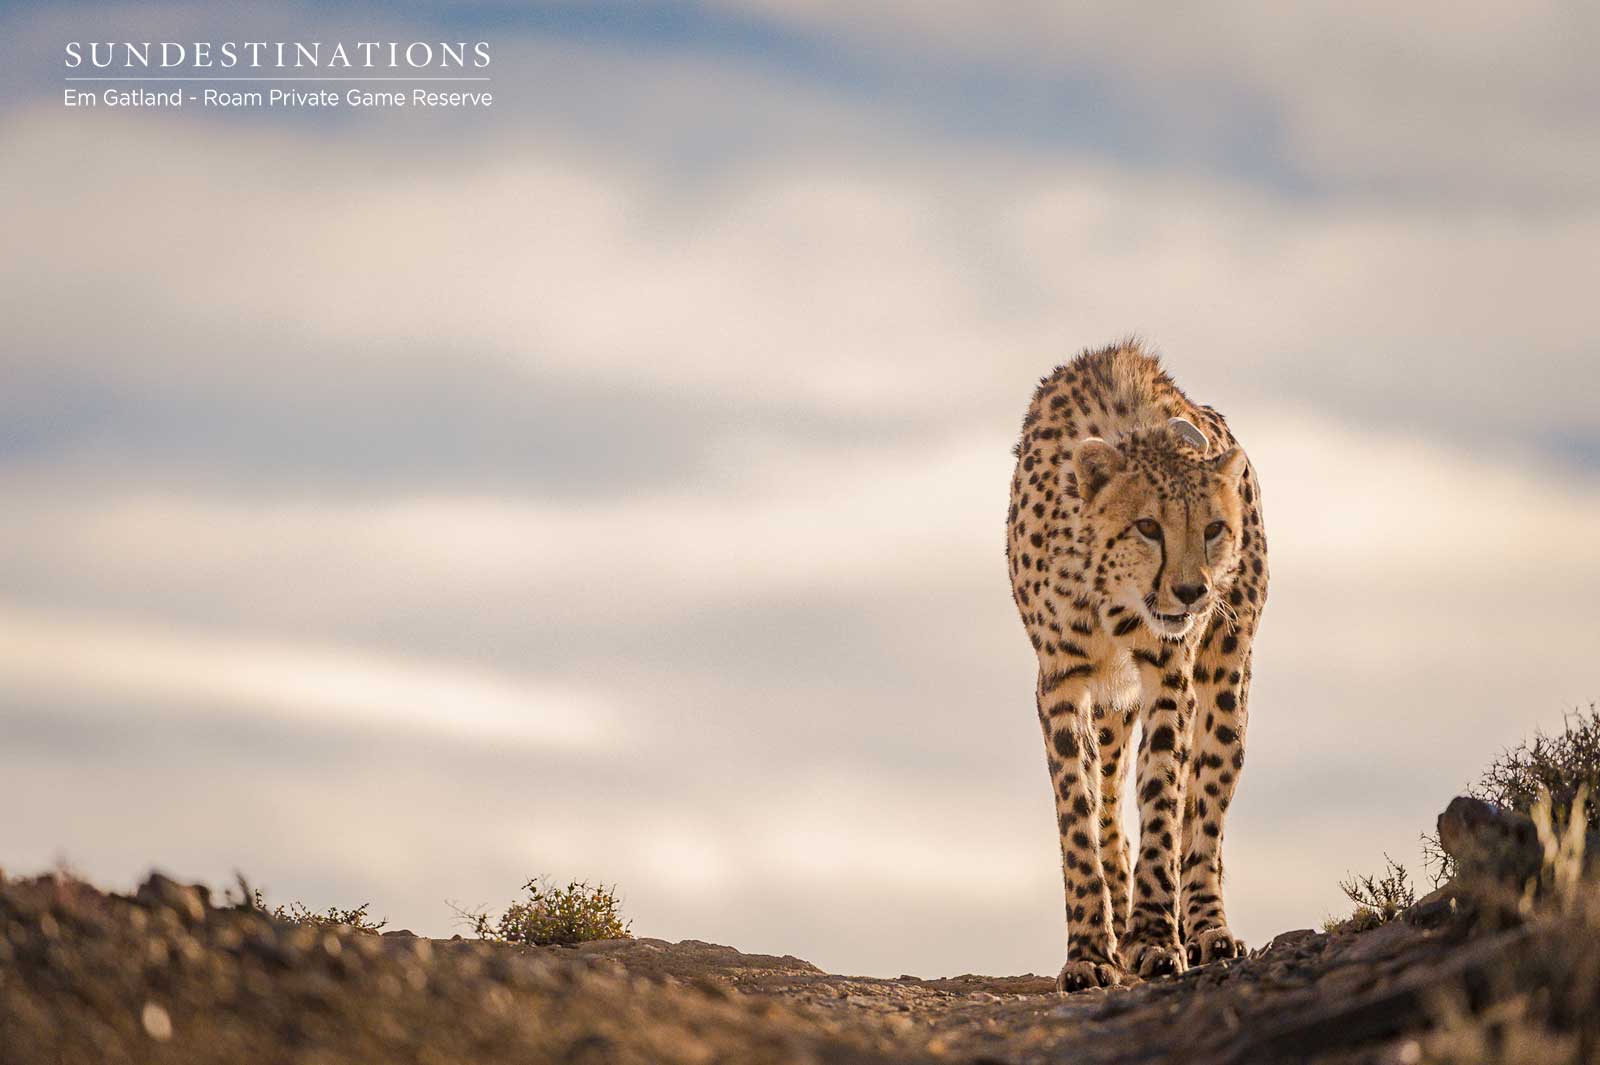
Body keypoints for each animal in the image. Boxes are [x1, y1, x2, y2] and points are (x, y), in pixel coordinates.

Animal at [1006, 339, 1268, 991]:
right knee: (1107, 794)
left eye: (1214, 528)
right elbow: (1078, 815)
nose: (1192, 591)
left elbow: (1164, 798)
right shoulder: (1061, 680)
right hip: (1110, 707)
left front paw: (1154, 936)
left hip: (1226, 680)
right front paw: (1090, 951)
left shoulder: (1170, 674)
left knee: (1205, 811)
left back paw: (1207, 928)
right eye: (1147, 526)